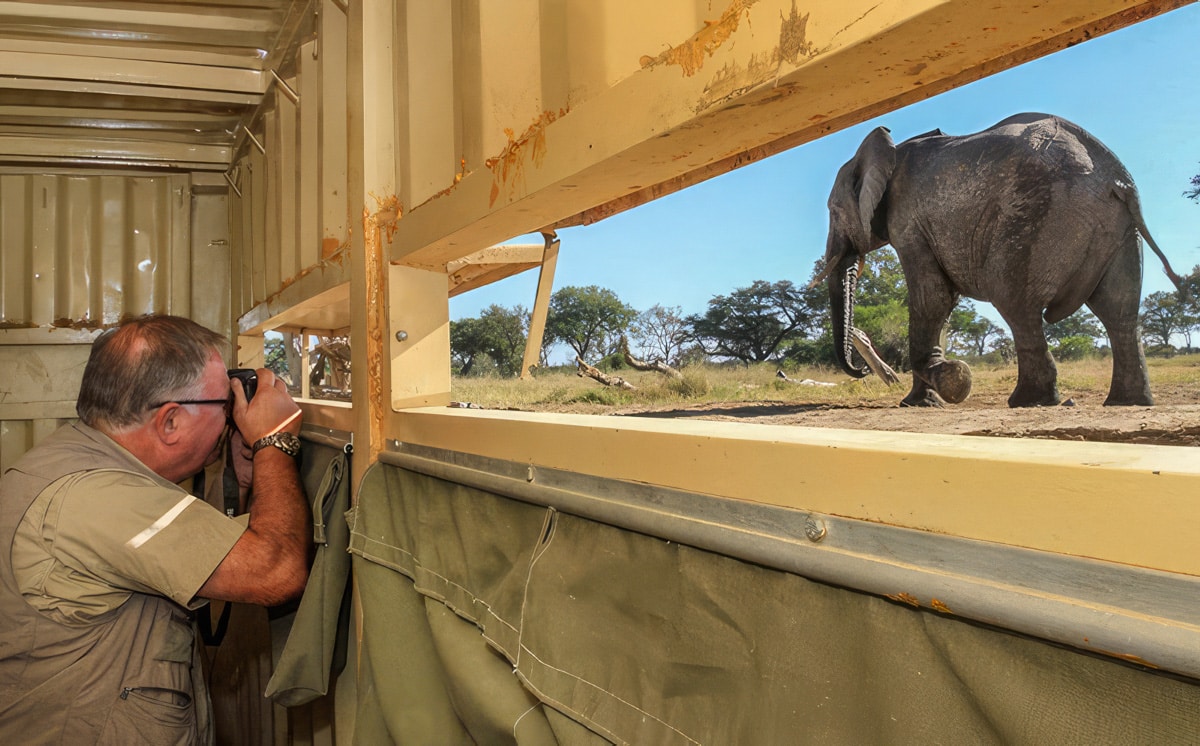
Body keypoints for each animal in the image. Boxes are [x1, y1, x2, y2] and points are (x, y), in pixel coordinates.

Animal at [816, 112, 1180, 410]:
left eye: (833, 211)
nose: (862, 369)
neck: (886, 150)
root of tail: (1117, 178)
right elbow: (943, 305)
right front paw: (921, 403)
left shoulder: (908, 221)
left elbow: (933, 297)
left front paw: (953, 380)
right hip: (1119, 228)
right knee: (1119, 312)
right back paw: (1127, 403)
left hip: (1037, 216)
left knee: (1013, 299)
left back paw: (1029, 401)